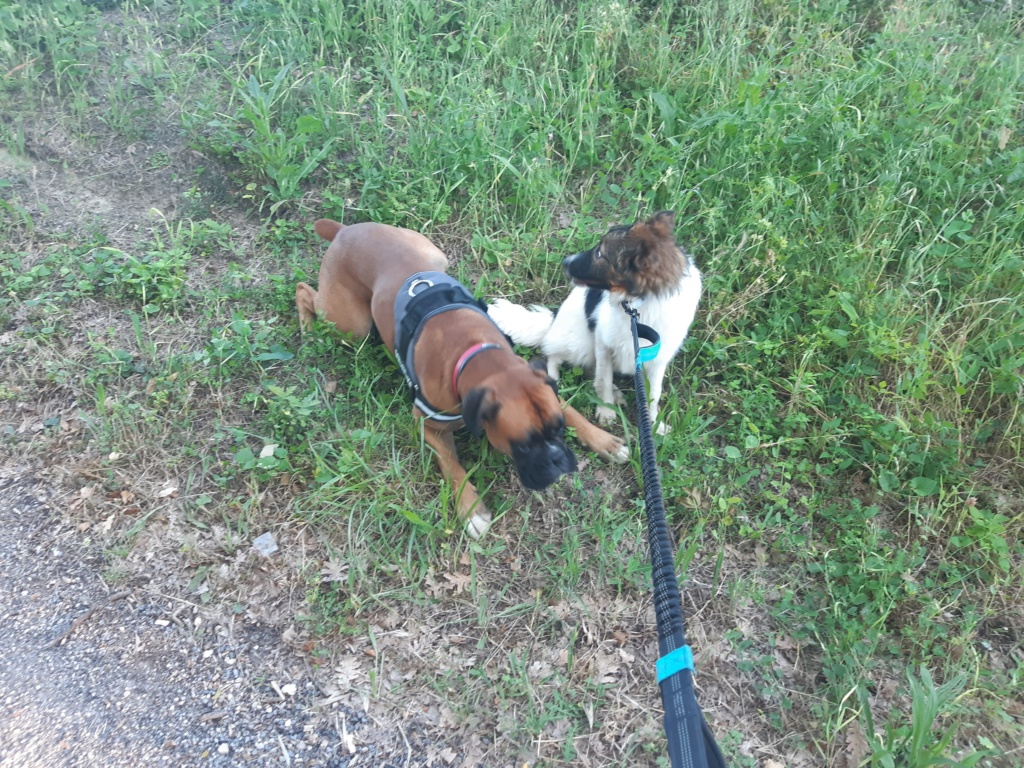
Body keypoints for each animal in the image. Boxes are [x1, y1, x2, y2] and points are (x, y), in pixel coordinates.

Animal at [296, 219, 626, 536]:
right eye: (522, 446)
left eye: (557, 430)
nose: (558, 460)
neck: (477, 356)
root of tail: (344, 231)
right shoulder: (426, 425)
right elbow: (453, 467)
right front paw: (471, 509)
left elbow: (571, 410)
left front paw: (603, 440)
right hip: (351, 326)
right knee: (303, 291)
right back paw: (308, 329)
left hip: (432, 255)